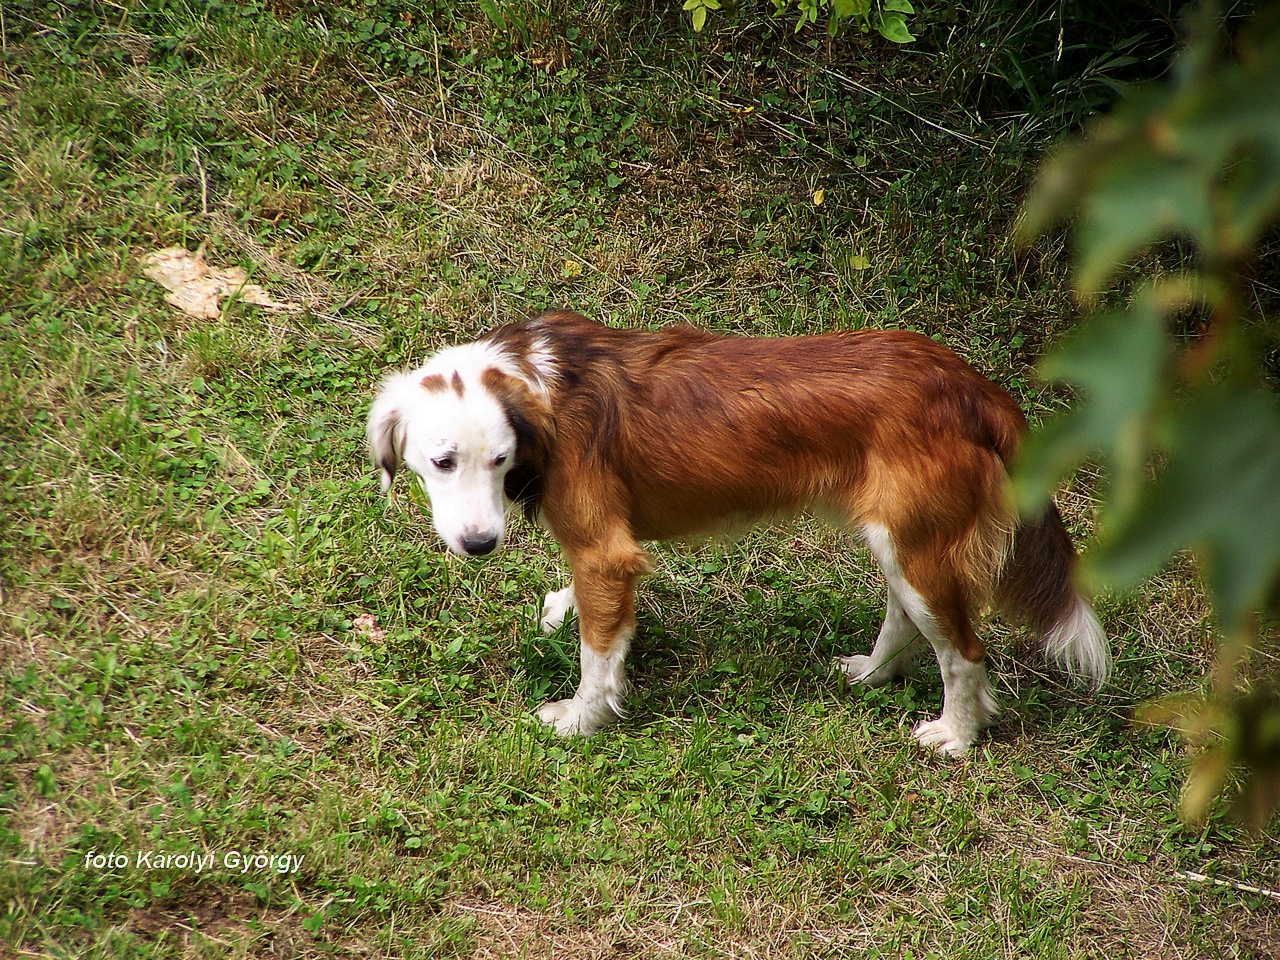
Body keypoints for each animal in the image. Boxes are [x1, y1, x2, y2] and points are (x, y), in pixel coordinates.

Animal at [371, 312, 1111, 757]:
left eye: (500, 460)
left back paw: (956, 736)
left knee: (964, 652)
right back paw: (871, 674)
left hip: (920, 550)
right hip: (899, 544)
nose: (479, 546)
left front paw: (583, 719)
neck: (536, 383)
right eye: (443, 462)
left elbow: (596, 655)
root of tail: (972, 385)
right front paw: (563, 609)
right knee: (908, 619)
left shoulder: (605, 553)